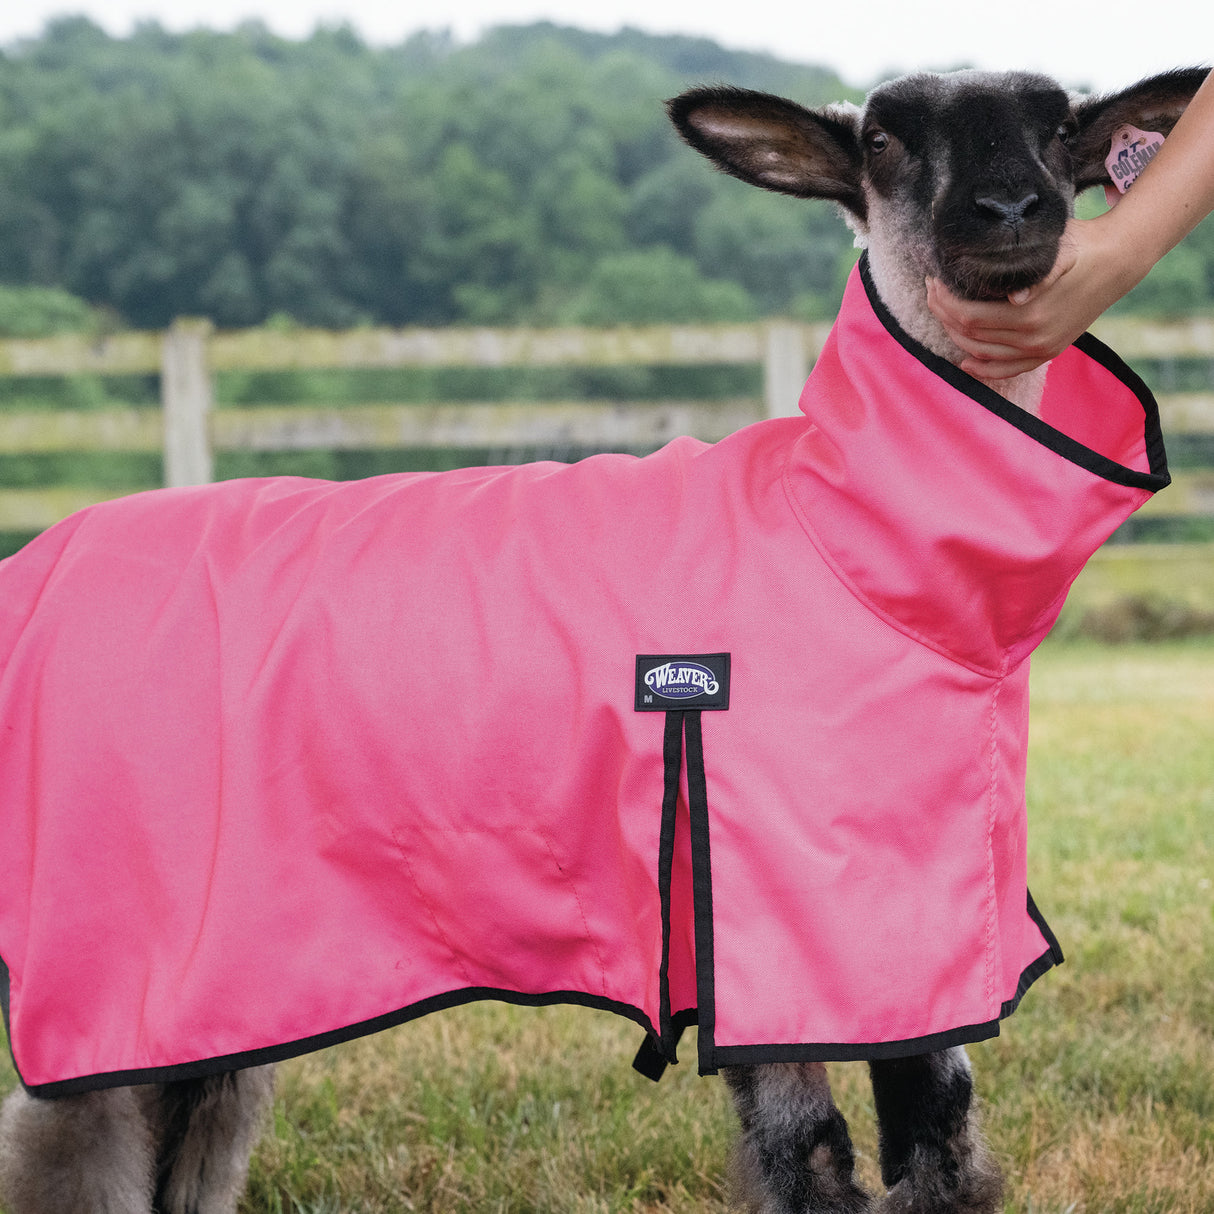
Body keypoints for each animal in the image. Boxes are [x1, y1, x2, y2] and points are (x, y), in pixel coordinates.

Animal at [0, 64, 1206, 1214]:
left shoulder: (914, 922)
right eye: (880, 140)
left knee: (198, 1121)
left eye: (1061, 129)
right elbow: (810, 1157)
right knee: (80, 1144)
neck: (850, 543)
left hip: (220, 970)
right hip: (102, 934)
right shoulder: (750, 913)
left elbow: (940, 1151)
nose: (1009, 210)